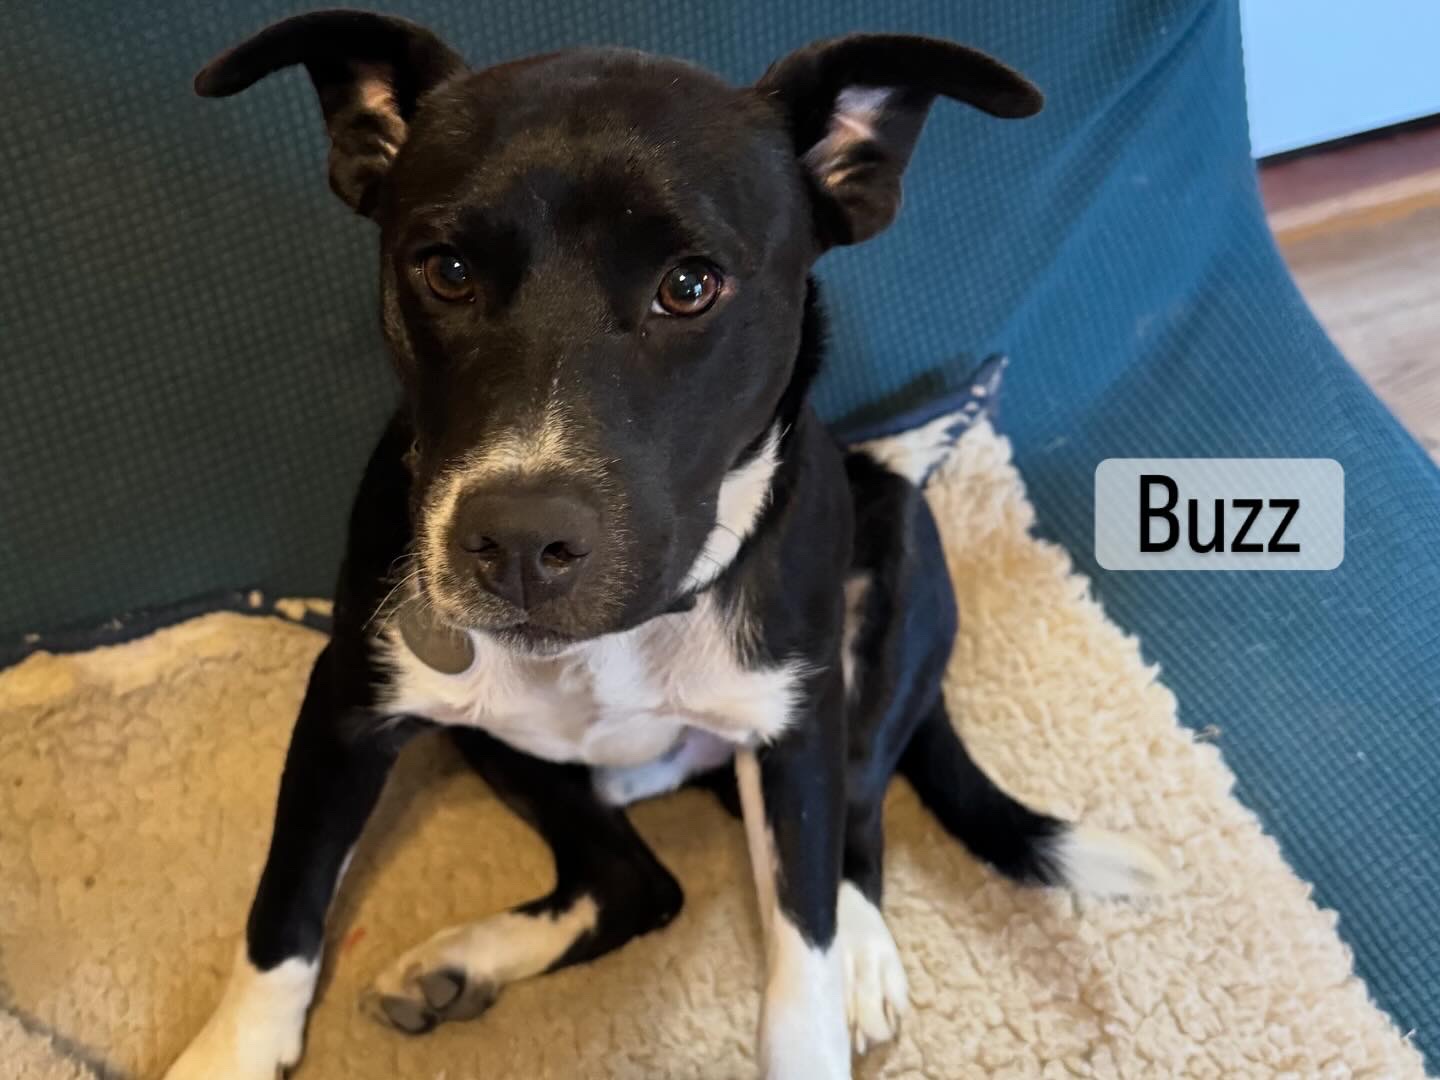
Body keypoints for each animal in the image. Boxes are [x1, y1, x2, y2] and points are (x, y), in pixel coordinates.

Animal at [164, 11, 1165, 1078]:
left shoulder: (796, 733)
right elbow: (285, 905)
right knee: (635, 878)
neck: (629, 635)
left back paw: (860, 951)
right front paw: (231, 1052)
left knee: (854, 817)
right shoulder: (348, 706)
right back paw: (472, 959)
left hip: (899, 547)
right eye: (447, 271)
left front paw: (830, 977)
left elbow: (803, 953)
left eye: (690, 286)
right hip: (504, 744)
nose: (520, 543)